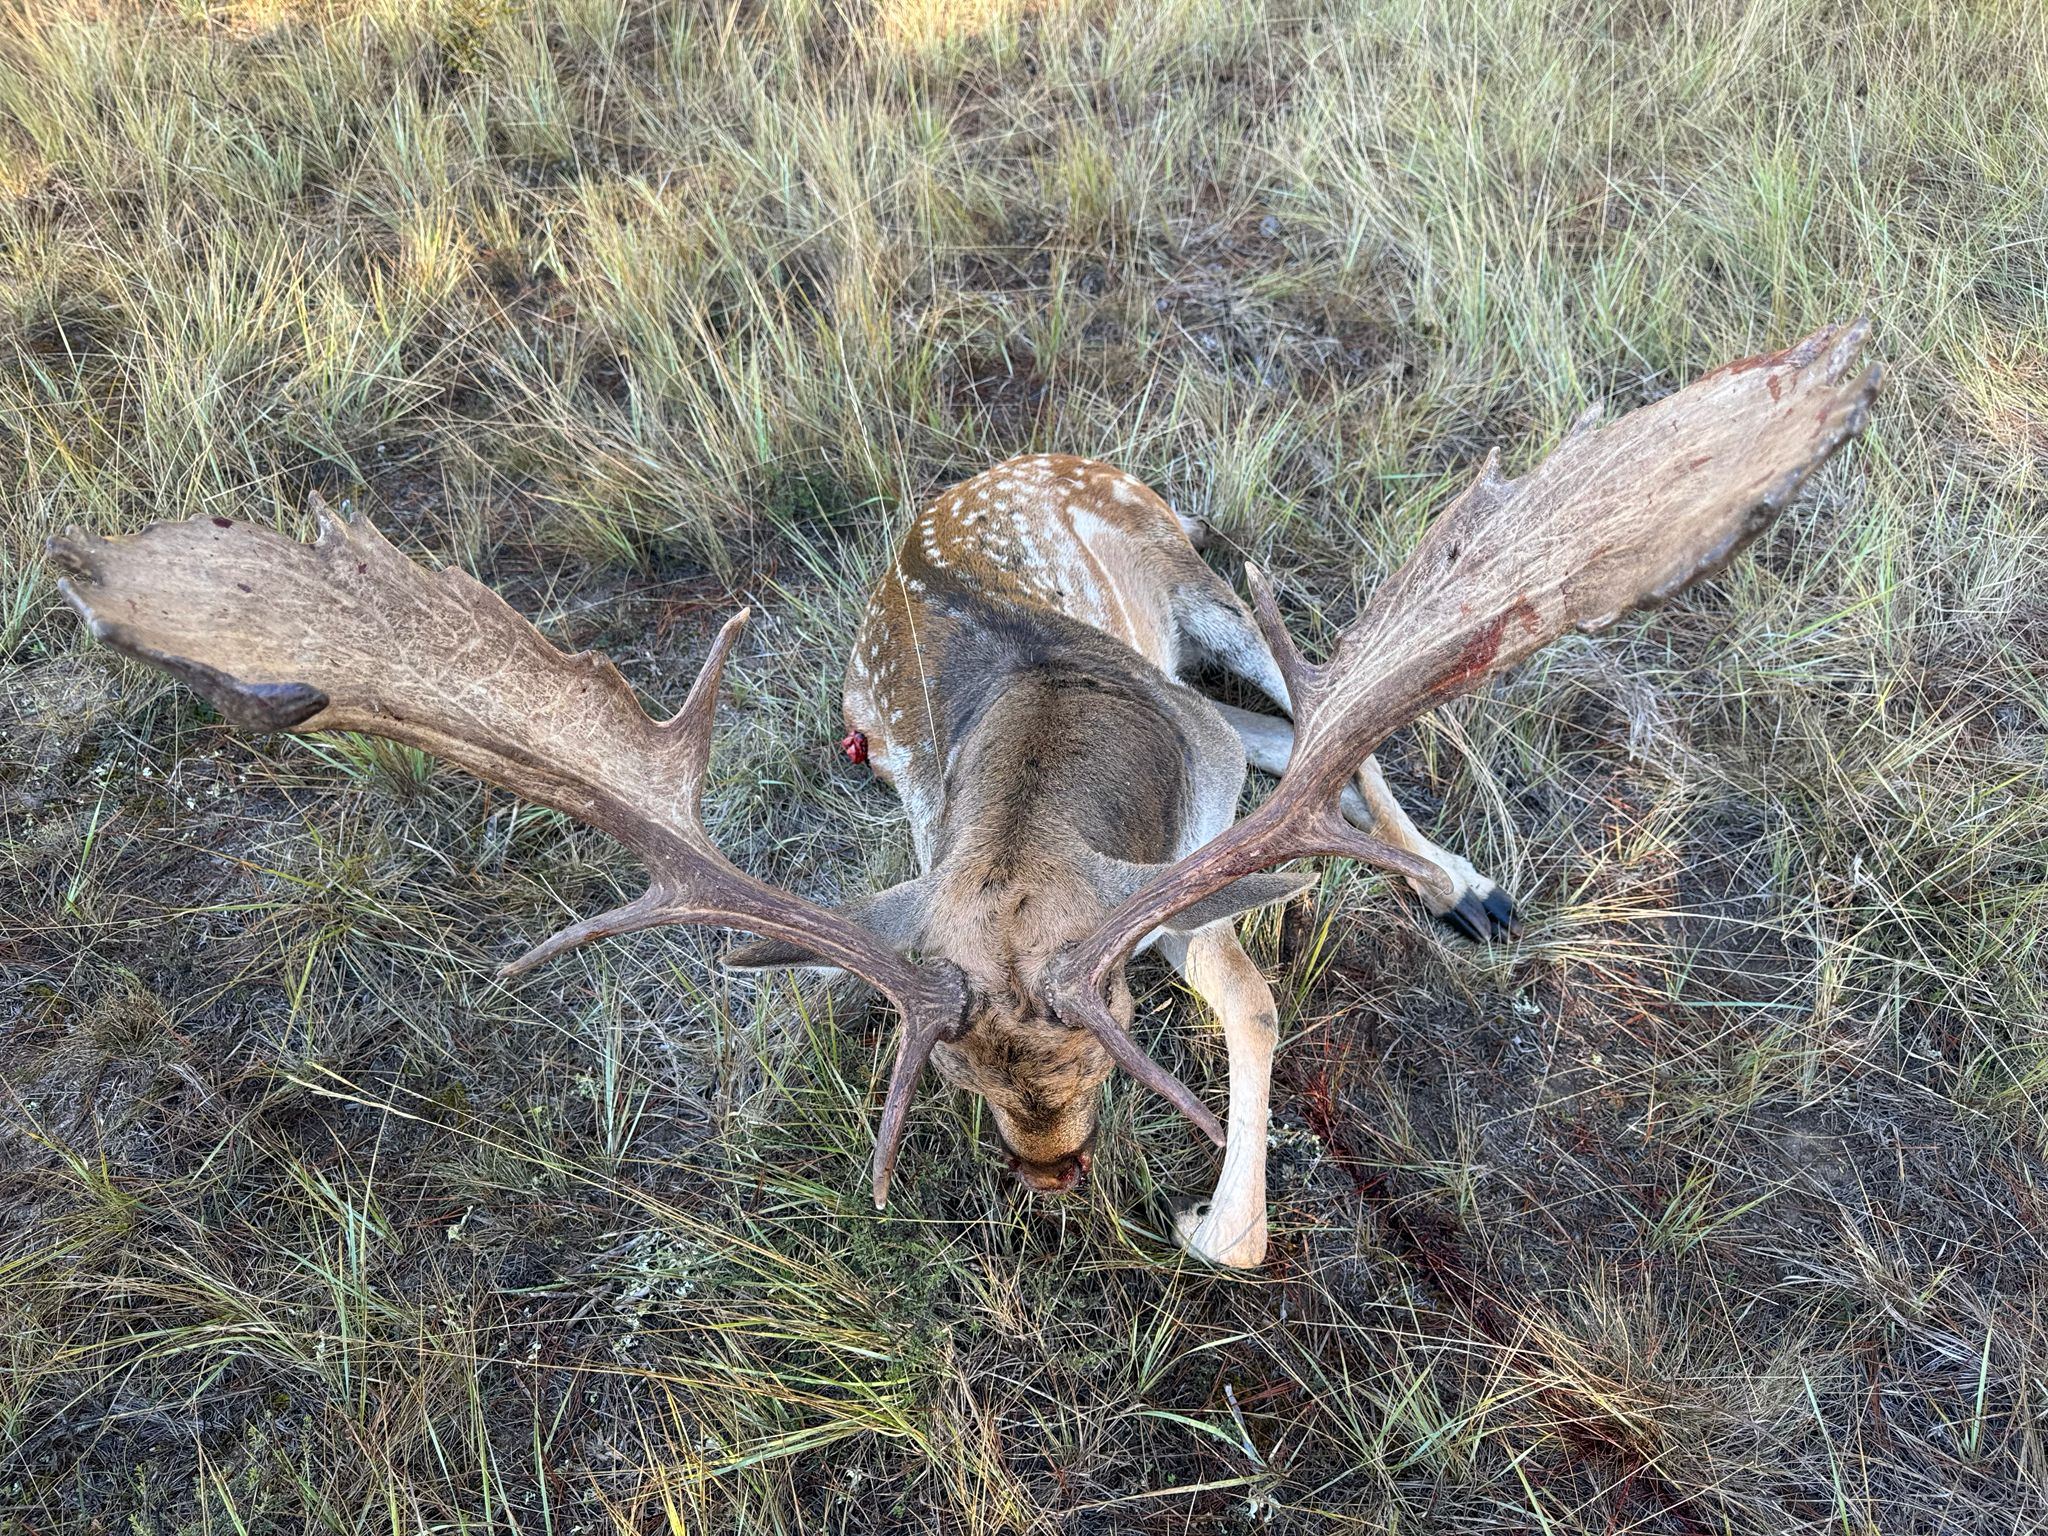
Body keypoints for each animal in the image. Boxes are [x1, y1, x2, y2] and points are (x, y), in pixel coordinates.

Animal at [49, 321, 1878, 1268]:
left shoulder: (1191, 837)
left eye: (1101, 1055)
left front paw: (1222, 1217)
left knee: (1333, 728)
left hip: (1220, 618)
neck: (1033, 795)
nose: (1053, 1174)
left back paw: (1465, 887)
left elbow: (1246, 1002)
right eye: (958, 1077)